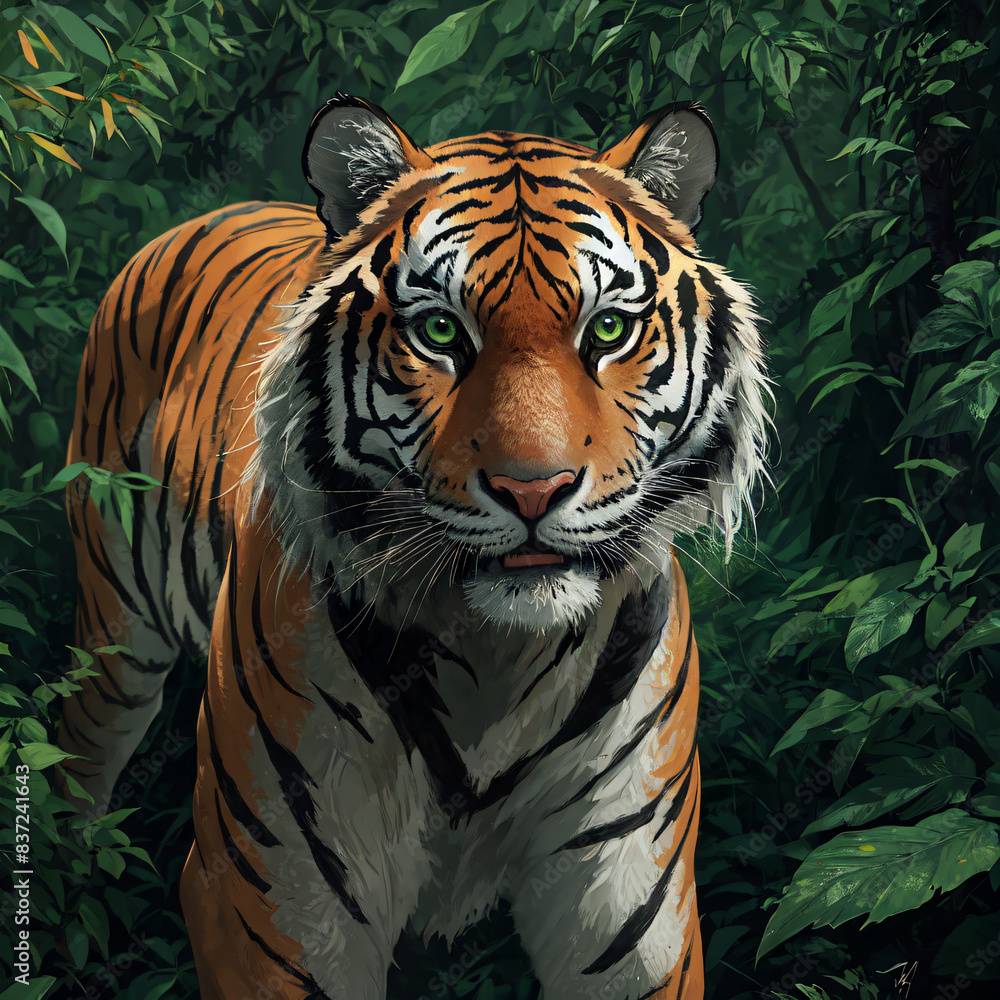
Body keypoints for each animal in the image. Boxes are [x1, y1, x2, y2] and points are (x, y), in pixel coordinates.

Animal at [56, 93, 769, 1000]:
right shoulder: (268, 897)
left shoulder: (629, 904)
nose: (533, 489)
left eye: (608, 329)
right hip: (113, 637)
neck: (497, 660)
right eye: (439, 331)